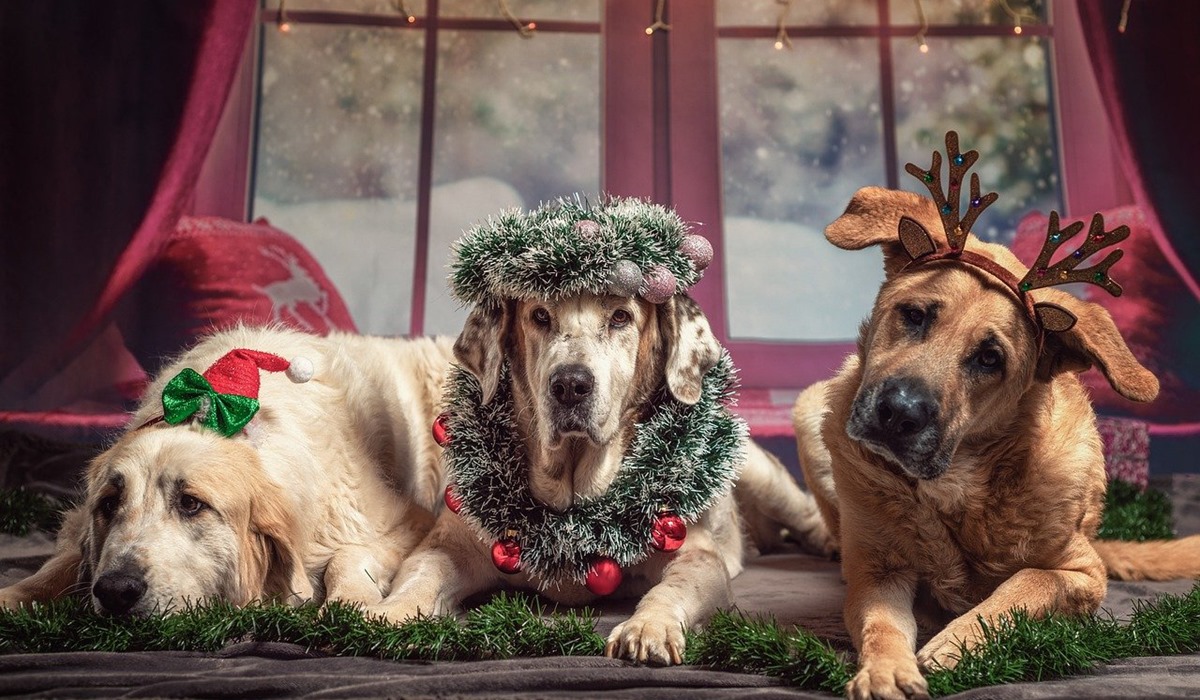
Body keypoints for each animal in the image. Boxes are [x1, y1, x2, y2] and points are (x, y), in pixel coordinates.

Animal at [367, 292, 835, 667]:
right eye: (540, 316)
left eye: (621, 317)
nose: (571, 384)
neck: (574, 497)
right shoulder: (451, 543)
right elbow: (421, 573)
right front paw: (392, 612)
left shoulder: (696, 556)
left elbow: (672, 588)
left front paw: (647, 628)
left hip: (758, 471)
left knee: (805, 510)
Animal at [792, 174, 1195, 696]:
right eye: (915, 315)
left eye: (990, 358)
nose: (898, 414)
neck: (960, 485)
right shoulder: (877, 572)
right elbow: (881, 624)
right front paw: (885, 670)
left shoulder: (1083, 574)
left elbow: (1025, 585)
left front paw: (957, 642)